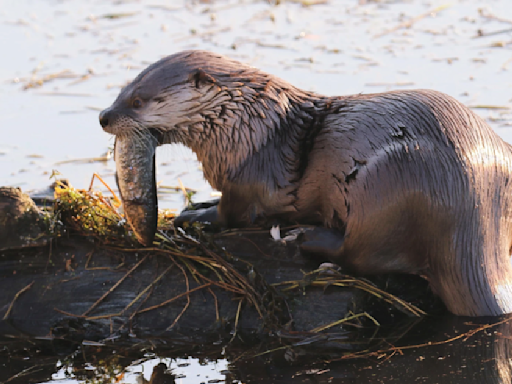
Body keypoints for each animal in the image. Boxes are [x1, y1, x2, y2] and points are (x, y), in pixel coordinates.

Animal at [99, 49, 512, 316]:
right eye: (122, 90)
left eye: (138, 101)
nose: (104, 116)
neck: (247, 128)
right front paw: (197, 204)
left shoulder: (248, 177)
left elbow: (233, 213)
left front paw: (196, 216)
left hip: (391, 185)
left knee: (359, 255)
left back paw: (309, 238)